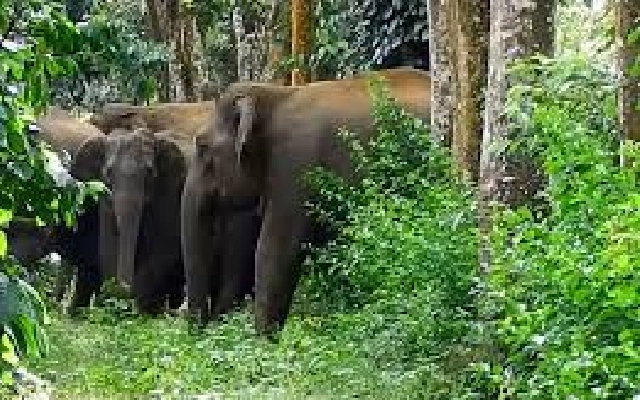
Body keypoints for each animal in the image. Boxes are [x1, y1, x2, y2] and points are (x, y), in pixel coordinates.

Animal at [71, 126, 188, 314]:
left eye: (149, 172)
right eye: (108, 173)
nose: (120, 290)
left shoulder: (169, 195)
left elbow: (163, 249)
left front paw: (139, 310)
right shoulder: (104, 197)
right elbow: (107, 246)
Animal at [182, 67, 431, 336]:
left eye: (202, 145)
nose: (201, 329)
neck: (277, 95)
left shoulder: (296, 167)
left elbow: (275, 250)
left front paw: (263, 342)